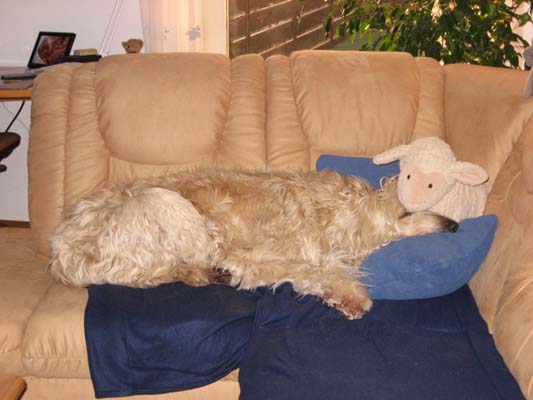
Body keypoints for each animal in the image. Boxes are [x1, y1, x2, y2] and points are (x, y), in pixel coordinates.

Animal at [49, 168, 459, 319]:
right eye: (412, 210)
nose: (455, 225)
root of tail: (62, 251)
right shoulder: (259, 257)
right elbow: (316, 269)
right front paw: (352, 295)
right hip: (162, 203)